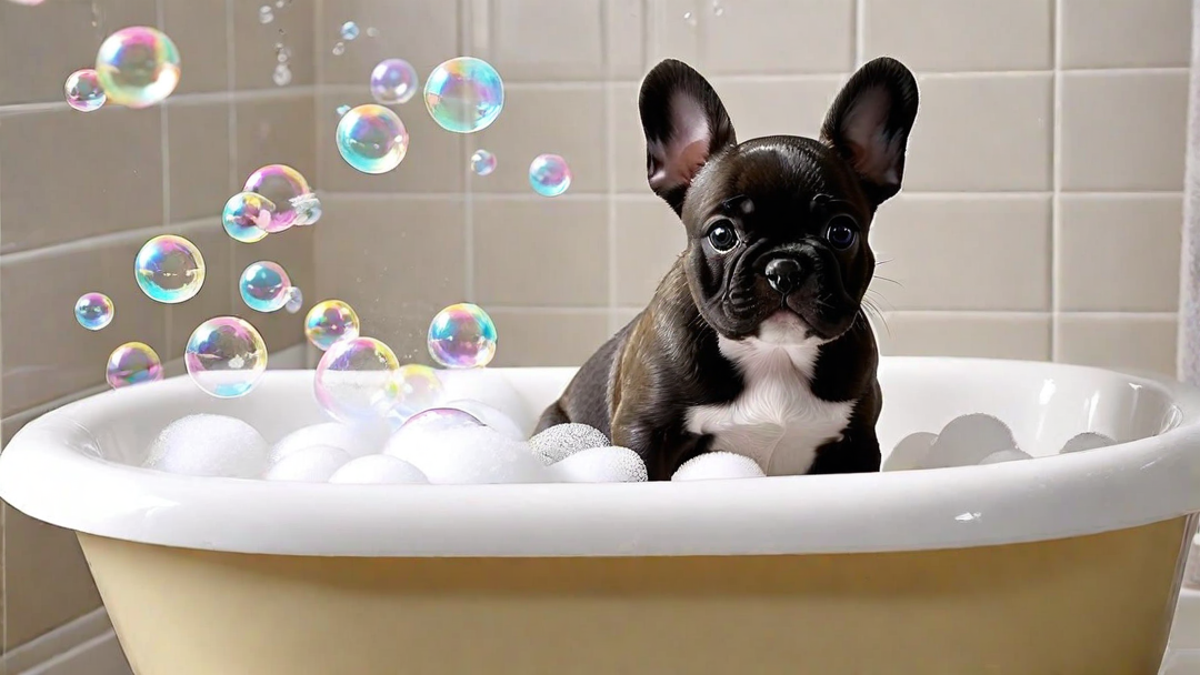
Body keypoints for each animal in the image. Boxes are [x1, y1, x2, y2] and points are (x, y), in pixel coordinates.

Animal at [535, 56, 916, 478]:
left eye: (841, 232)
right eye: (721, 234)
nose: (784, 267)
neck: (774, 356)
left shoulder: (858, 443)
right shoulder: (645, 430)